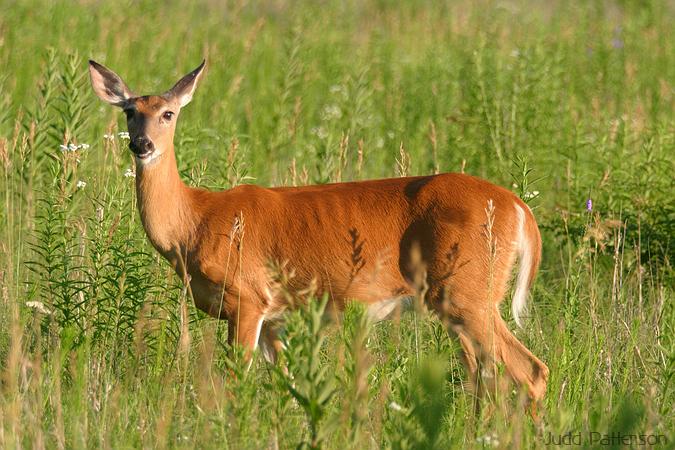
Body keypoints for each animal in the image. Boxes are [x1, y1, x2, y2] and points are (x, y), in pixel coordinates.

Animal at [89, 59, 549, 408]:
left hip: (469, 292)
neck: (195, 221)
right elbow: (288, 386)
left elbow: (238, 382)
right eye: (130, 111)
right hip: (457, 302)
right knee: (483, 374)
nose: (142, 145)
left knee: (530, 371)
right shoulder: (275, 318)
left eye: (168, 113)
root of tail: (519, 208)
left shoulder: (247, 297)